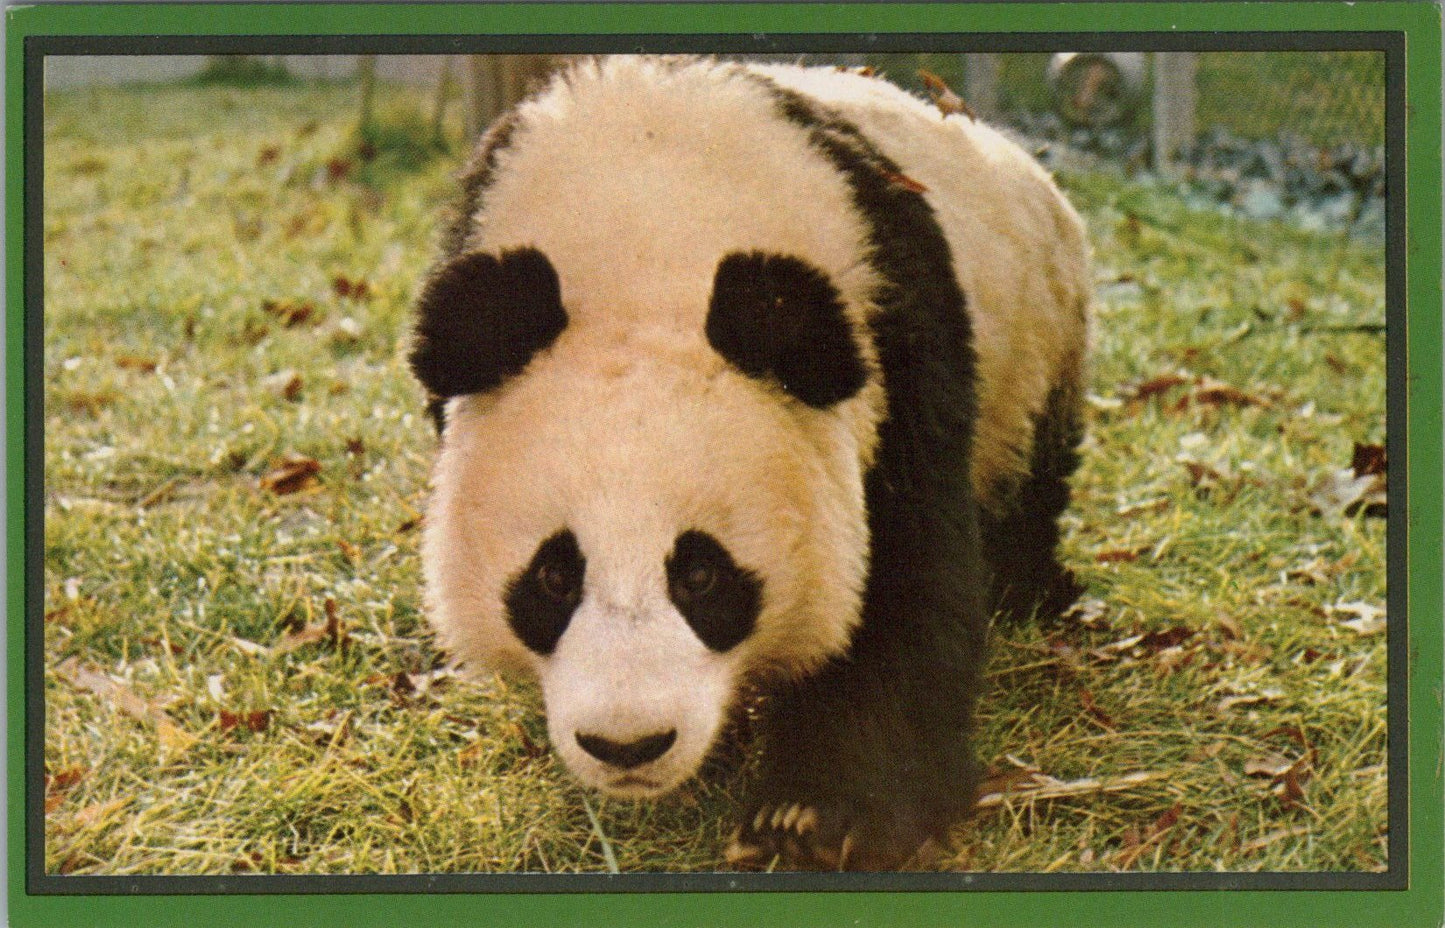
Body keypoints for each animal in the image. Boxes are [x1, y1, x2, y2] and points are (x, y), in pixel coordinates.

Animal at [409, 56, 1091, 871]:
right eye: (553, 576)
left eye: (702, 574)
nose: (628, 744)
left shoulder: (891, 327)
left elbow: (903, 572)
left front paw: (822, 819)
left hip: (1037, 347)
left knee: (1029, 484)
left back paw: (1031, 590)